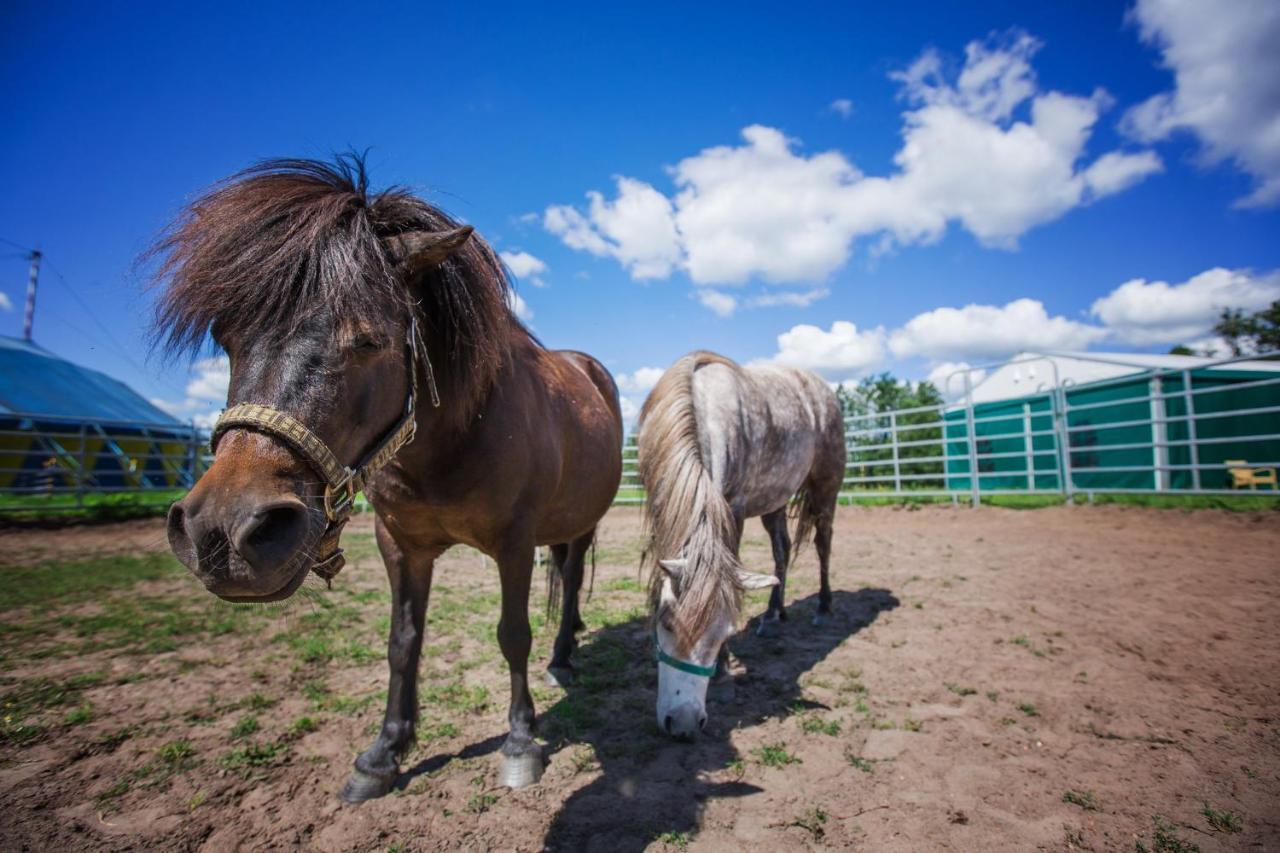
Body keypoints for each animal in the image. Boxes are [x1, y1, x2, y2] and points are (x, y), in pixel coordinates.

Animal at [152, 157, 622, 799]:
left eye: (370, 339)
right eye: (226, 340)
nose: (223, 532)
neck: (458, 434)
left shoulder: (514, 543)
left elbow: (513, 634)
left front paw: (521, 740)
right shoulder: (399, 545)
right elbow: (403, 642)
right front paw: (384, 753)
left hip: (581, 523)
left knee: (570, 582)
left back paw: (564, 656)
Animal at [640, 348, 849, 732]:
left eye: (725, 633)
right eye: (666, 624)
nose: (685, 724)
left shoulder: (733, 509)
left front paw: (724, 670)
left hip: (826, 488)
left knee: (823, 543)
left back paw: (823, 610)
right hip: (775, 499)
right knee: (781, 552)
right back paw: (773, 616)